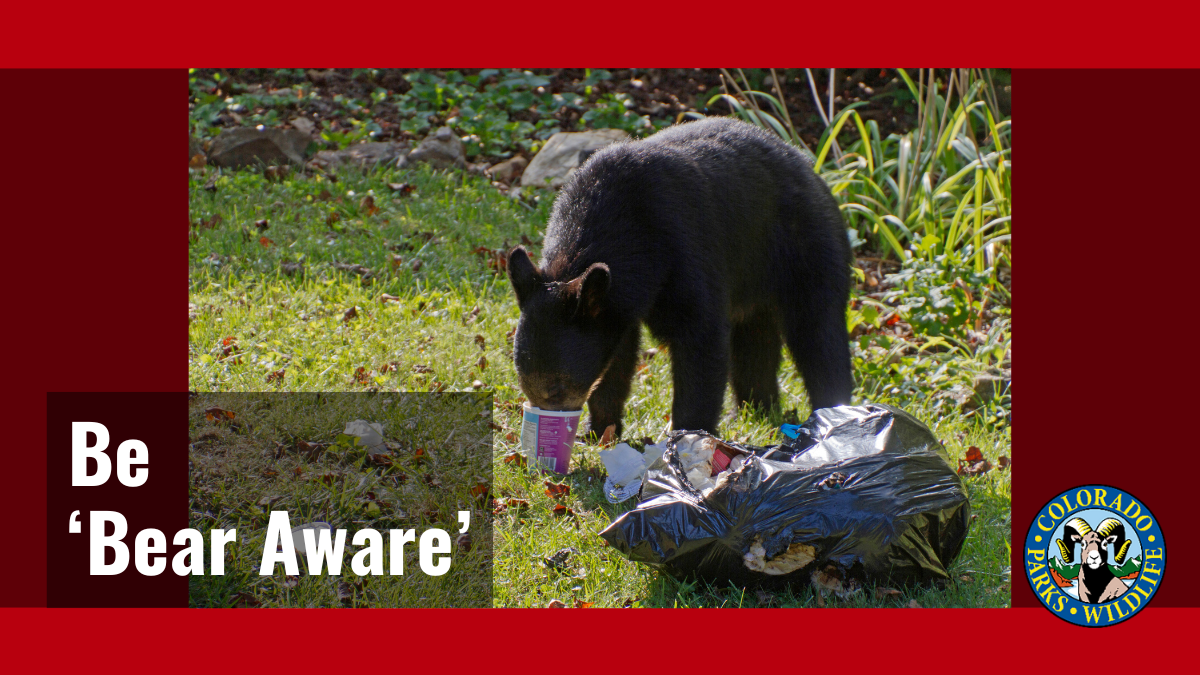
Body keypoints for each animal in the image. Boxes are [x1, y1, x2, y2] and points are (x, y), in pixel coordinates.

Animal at [507, 116, 854, 436]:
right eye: (524, 383)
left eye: (556, 389)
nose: (547, 424)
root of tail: (811, 168)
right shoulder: (616, 302)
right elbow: (617, 357)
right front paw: (600, 430)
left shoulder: (684, 249)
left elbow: (701, 339)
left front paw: (688, 436)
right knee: (755, 343)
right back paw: (753, 411)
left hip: (806, 246)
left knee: (818, 331)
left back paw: (832, 414)